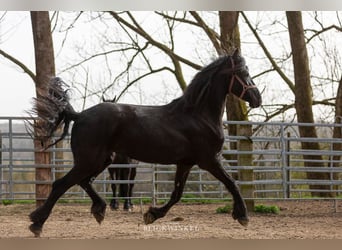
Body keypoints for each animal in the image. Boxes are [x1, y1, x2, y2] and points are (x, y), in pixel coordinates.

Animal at [27, 49, 262, 237]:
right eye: (244, 73)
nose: (257, 98)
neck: (198, 115)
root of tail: (80, 115)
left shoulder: (185, 163)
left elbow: (177, 194)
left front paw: (152, 214)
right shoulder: (209, 160)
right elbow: (232, 183)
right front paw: (242, 216)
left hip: (102, 160)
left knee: (83, 182)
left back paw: (99, 210)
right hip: (90, 160)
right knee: (62, 184)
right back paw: (37, 223)